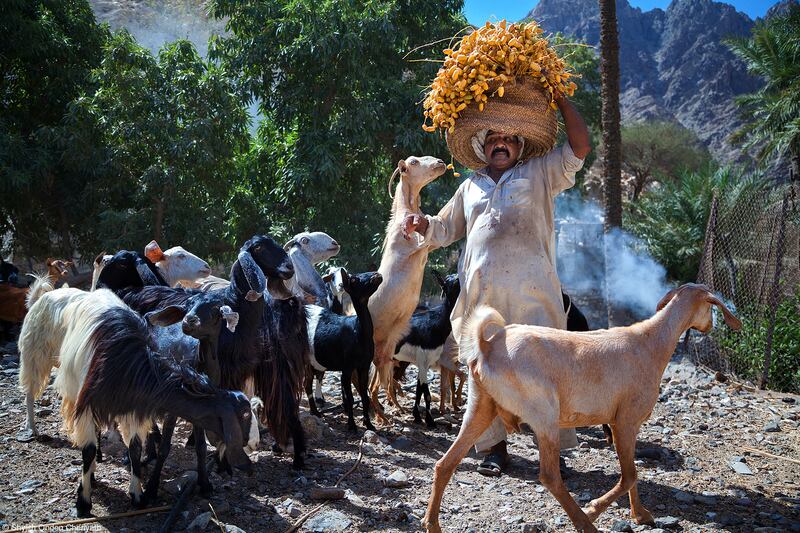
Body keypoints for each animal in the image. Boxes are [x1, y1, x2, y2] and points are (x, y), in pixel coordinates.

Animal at [304, 270, 382, 432]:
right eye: (354, 280)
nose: (377, 275)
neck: (358, 332)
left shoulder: (364, 365)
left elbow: (364, 396)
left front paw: (369, 424)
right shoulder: (347, 367)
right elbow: (350, 398)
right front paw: (352, 425)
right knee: (306, 384)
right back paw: (314, 412)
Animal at [370, 156, 450, 422]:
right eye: (414, 162)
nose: (440, 162)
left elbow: (432, 238)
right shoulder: (408, 250)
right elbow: (420, 244)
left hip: (385, 350)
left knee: (379, 380)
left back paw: (388, 413)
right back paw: (383, 417)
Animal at [424, 282, 744, 532]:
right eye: (711, 307)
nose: (711, 326)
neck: (651, 342)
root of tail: (487, 347)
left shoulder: (623, 424)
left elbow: (633, 473)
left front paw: (641, 515)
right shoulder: (625, 420)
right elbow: (630, 475)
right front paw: (596, 508)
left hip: (481, 406)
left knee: (445, 464)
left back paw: (432, 523)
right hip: (544, 414)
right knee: (549, 476)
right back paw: (584, 522)